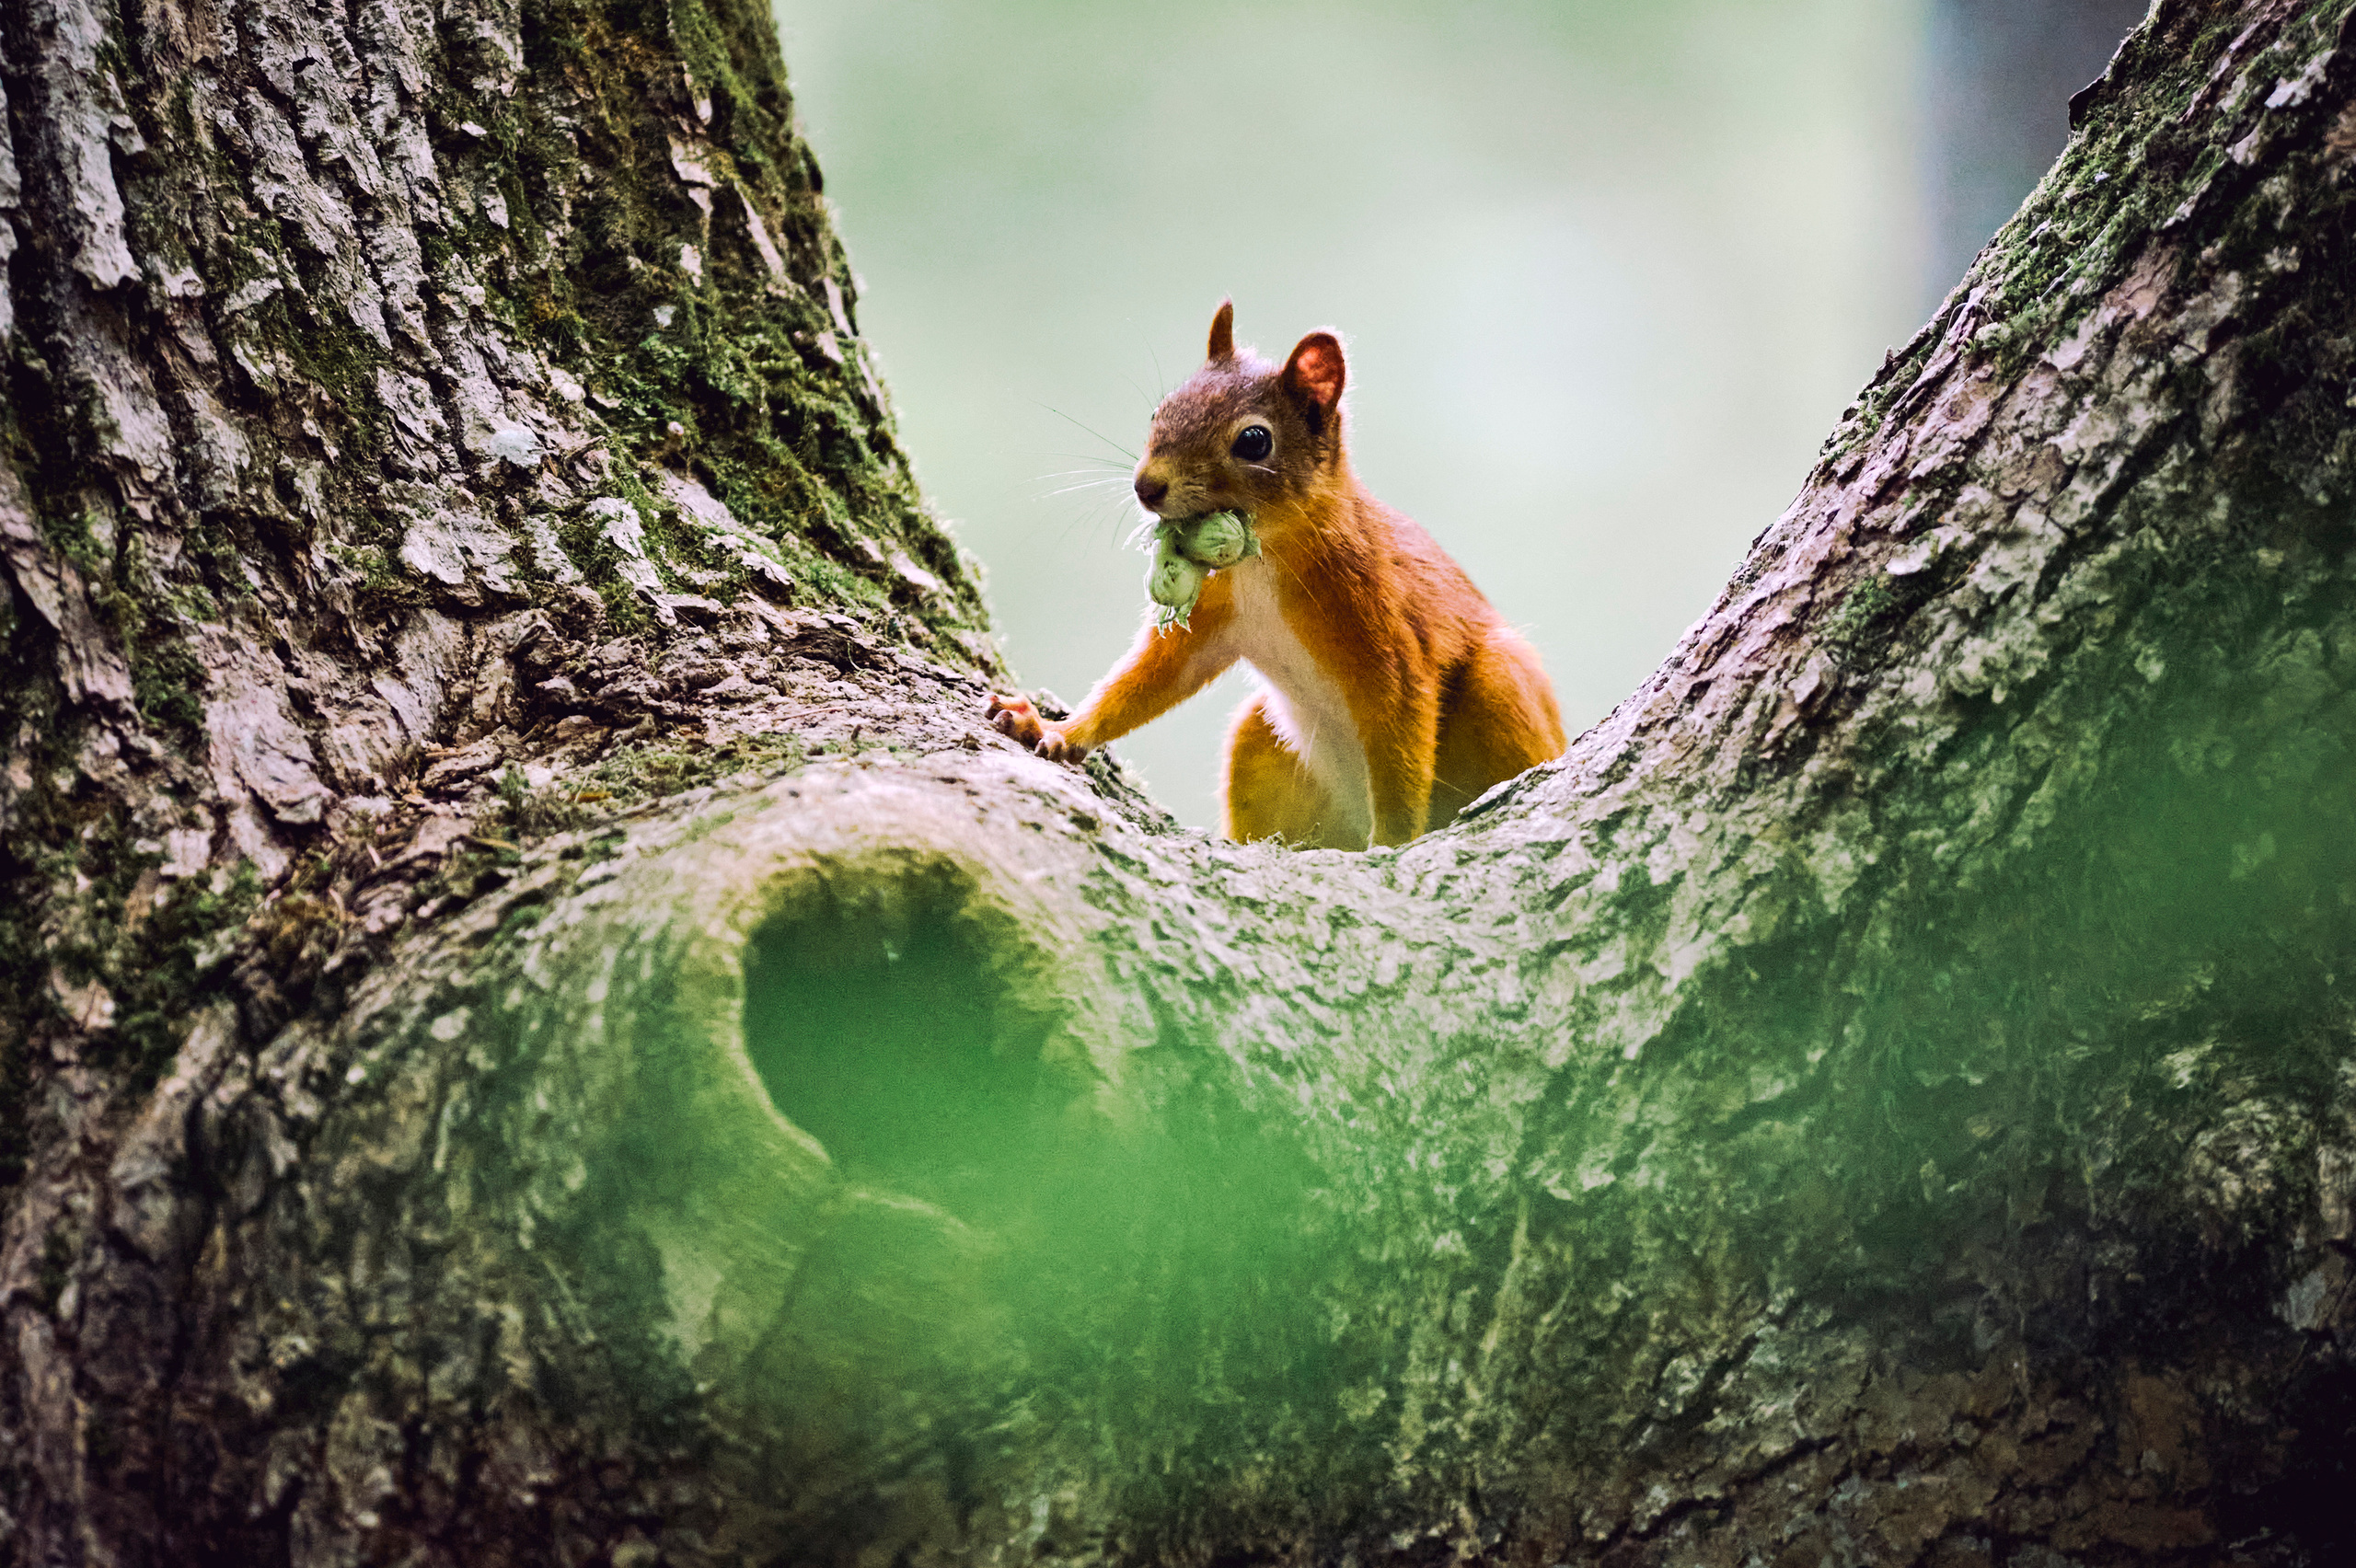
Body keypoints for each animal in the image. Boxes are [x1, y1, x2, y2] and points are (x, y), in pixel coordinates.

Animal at [989, 300, 1566, 849]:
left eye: (1253, 441)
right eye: (1159, 410)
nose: (1146, 487)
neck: (1260, 564)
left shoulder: (1384, 632)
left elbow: (1402, 736)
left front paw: (1393, 842)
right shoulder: (1216, 616)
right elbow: (1150, 679)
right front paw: (1056, 730)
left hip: (1500, 686)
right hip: (1258, 742)